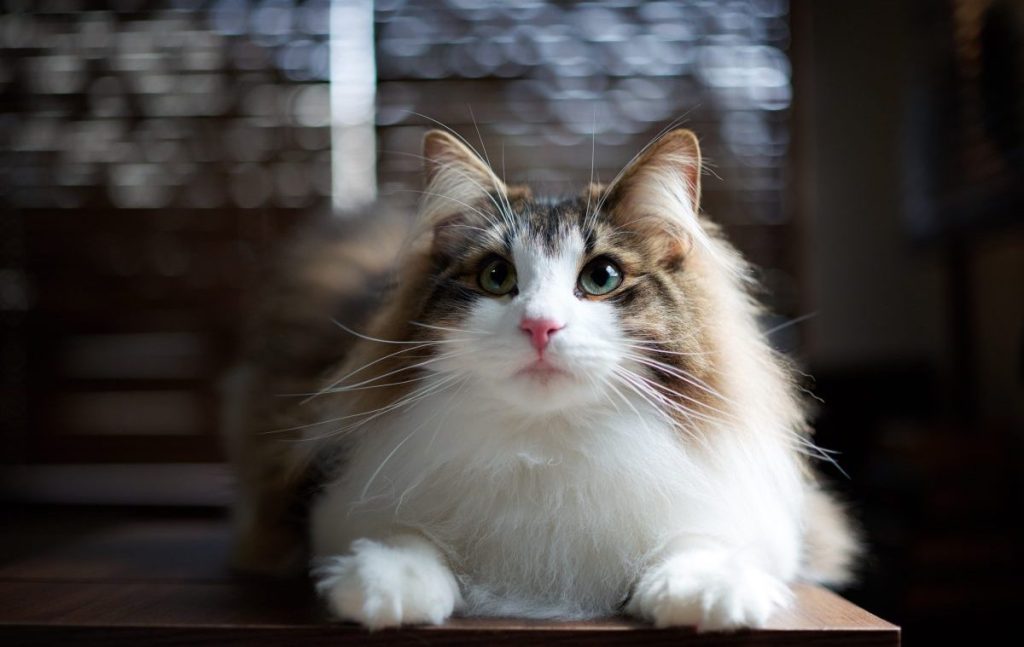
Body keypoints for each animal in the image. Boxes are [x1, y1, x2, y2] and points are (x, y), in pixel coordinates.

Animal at [224, 126, 856, 630]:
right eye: (496, 277)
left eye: (601, 277)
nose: (540, 326)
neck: (549, 445)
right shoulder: (323, 502)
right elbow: (404, 536)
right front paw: (389, 584)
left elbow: (704, 539)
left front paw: (705, 591)